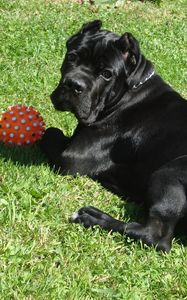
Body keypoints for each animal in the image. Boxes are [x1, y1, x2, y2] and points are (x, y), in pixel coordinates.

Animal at [41, 19, 187, 252]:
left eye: (107, 74)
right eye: (71, 57)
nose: (73, 84)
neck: (129, 91)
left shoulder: (73, 157)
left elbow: (49, 132)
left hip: (169, 173)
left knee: (156, 237)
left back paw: (92, 217)